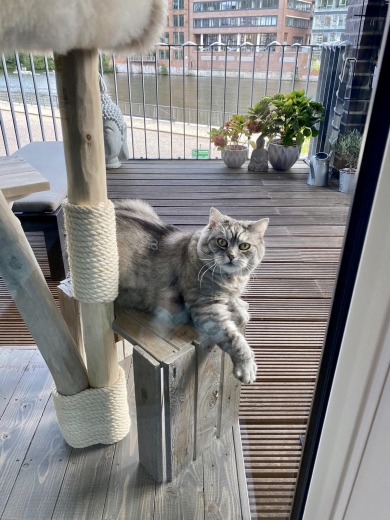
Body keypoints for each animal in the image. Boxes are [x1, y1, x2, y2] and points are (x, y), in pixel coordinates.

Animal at [114, 201, 270, 384]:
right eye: (222, 242)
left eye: (244, 246)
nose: (231, 256)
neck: (230, 280)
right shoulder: (207, 309)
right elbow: (234, 339)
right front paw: (246, 367)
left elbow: (234, 302)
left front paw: (240, 307)